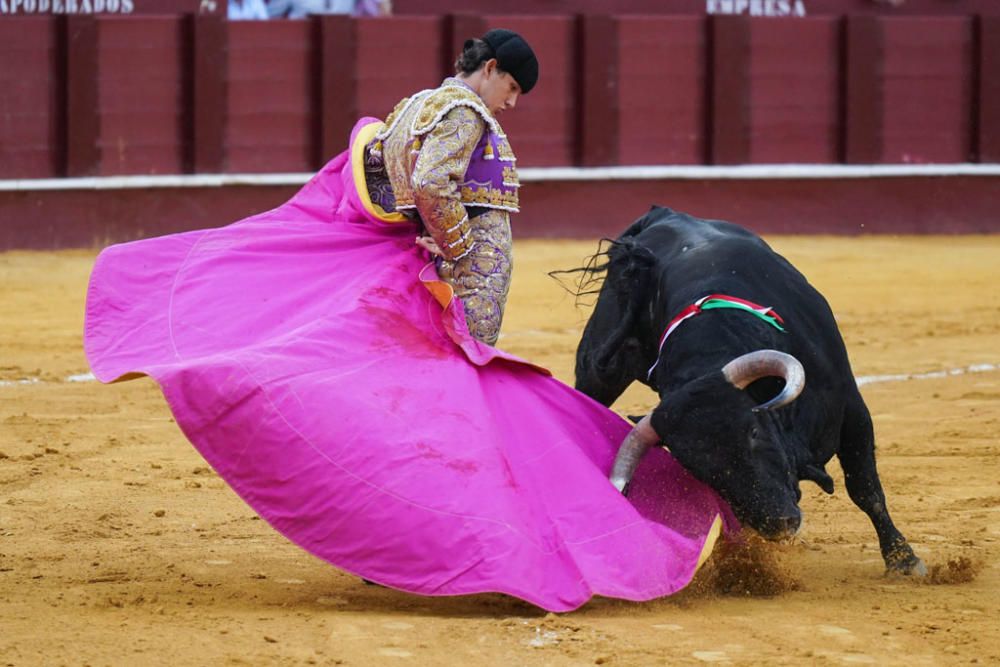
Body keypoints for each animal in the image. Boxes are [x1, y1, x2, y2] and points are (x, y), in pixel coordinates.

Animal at [576, 206, 924, 576]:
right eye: (699, 468)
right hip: (597, 370)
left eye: (754, 432)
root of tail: (662, 214)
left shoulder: (851, 407)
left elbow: (865, 488)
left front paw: (903, 560)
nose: (777, 523)